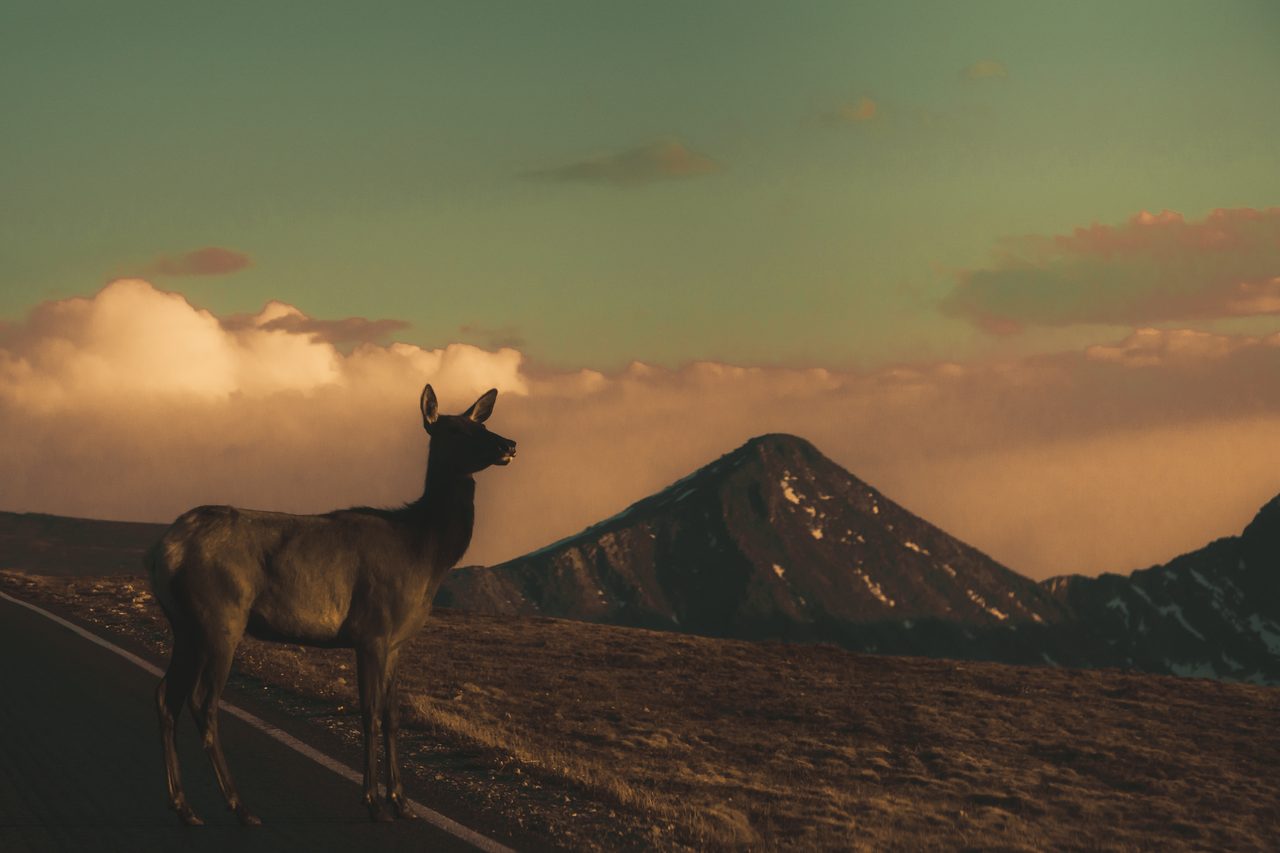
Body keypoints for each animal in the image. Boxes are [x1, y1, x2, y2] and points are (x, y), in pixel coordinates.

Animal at [146, 384, 516, 825]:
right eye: (456, 429)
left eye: (483, 424)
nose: (509, 444)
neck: (426, 554)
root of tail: (165, 552)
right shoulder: (372, 631)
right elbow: (369, 713)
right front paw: (373, 802)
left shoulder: (397, 642)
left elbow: (393, 716)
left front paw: (402, 800)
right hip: (221, 618)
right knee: (202, 701)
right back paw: (239, 805)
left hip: (185, 625)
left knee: (166, 695)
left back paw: (184, 806)